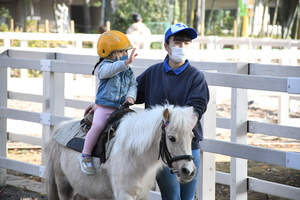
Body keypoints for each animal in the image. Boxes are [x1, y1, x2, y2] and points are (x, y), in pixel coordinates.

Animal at [45, 104, 197, 200]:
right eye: (171, 138)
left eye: (192, 136)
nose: (188, 171)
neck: (135, 155)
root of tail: (60, 126)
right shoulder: (124, 195)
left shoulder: (142, 195)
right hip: (63, 185)